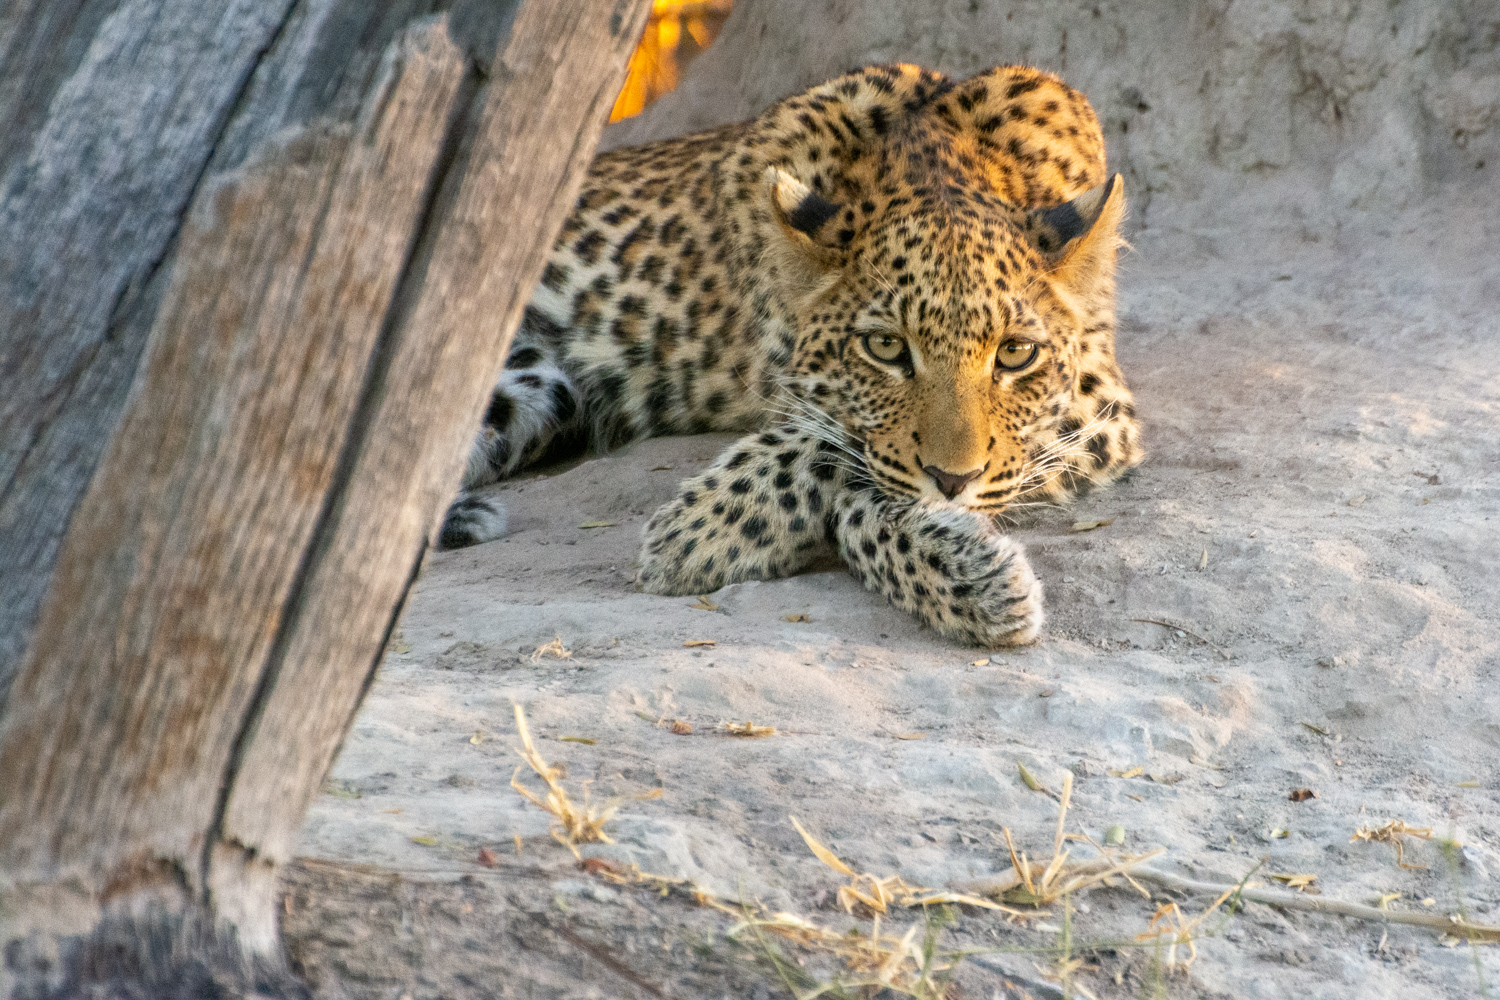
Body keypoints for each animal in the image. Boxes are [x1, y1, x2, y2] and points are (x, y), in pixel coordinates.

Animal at [438, 66, 1140, 653]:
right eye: (886, 347)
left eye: (1016, 354)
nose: (952, 479)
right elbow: (834, 457)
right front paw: (702, 533)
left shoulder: (1099, 401)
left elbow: (854, 480)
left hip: (540, 386)